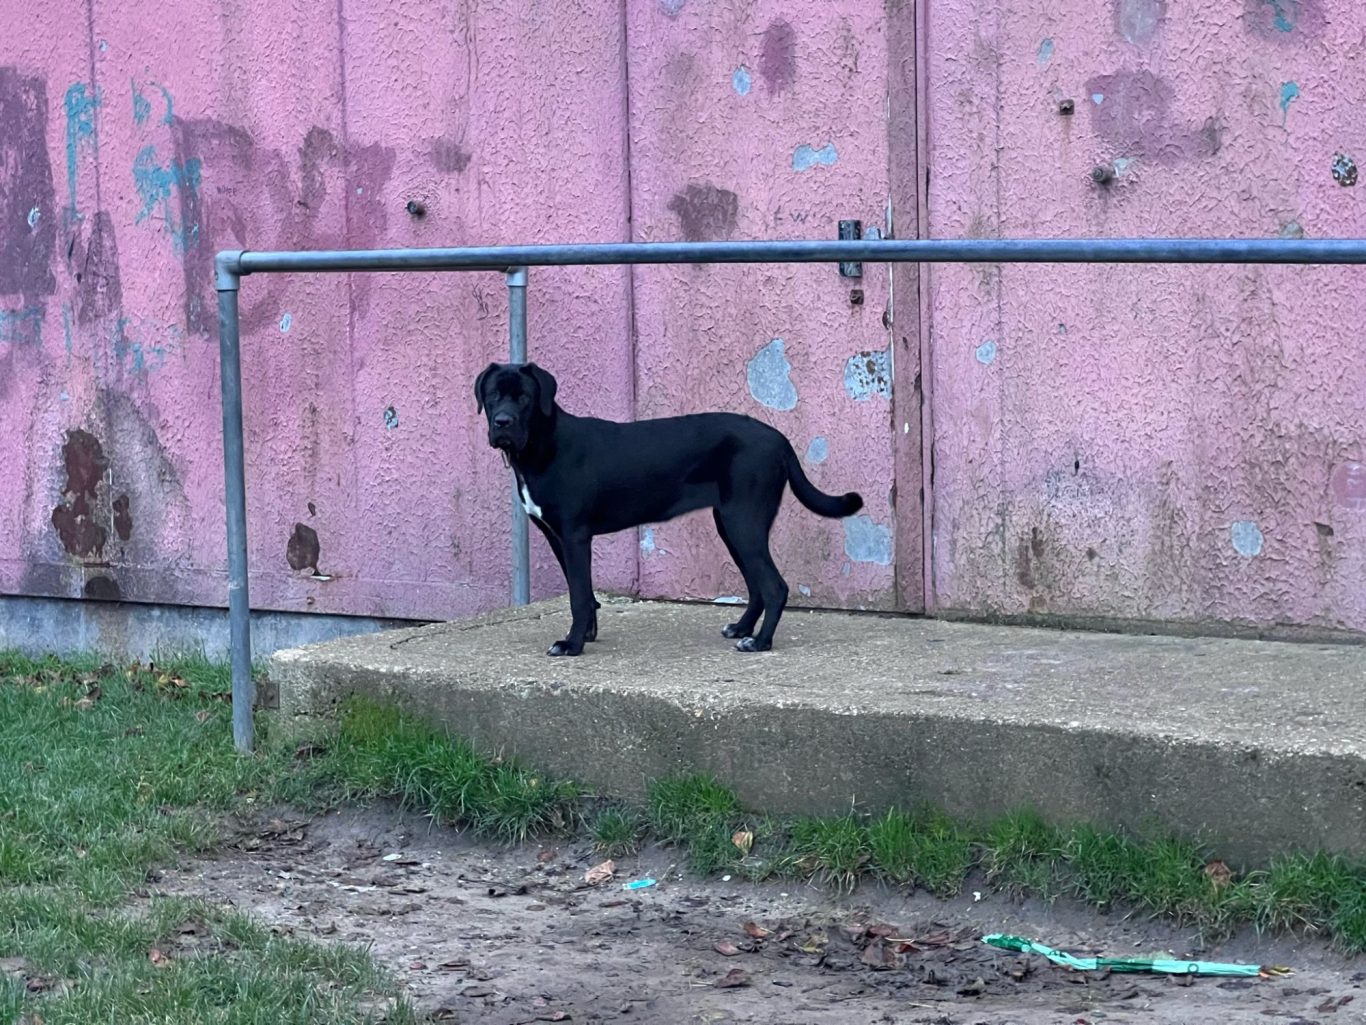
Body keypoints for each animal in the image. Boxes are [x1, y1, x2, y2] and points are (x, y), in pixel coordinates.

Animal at [476, 362, 864, 656]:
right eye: (493, 396)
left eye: (525, 398)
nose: (502, 423)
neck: (543, 446)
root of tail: (778, 438)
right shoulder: (558, 538)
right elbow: (579, 591)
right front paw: (584, 635)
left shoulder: (574, 536)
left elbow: (580, 596)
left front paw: (571, 645)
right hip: (730, 523)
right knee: (756, 585)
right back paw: (741, 629)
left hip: (743, 521)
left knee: (774, 585)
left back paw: (760, 642)